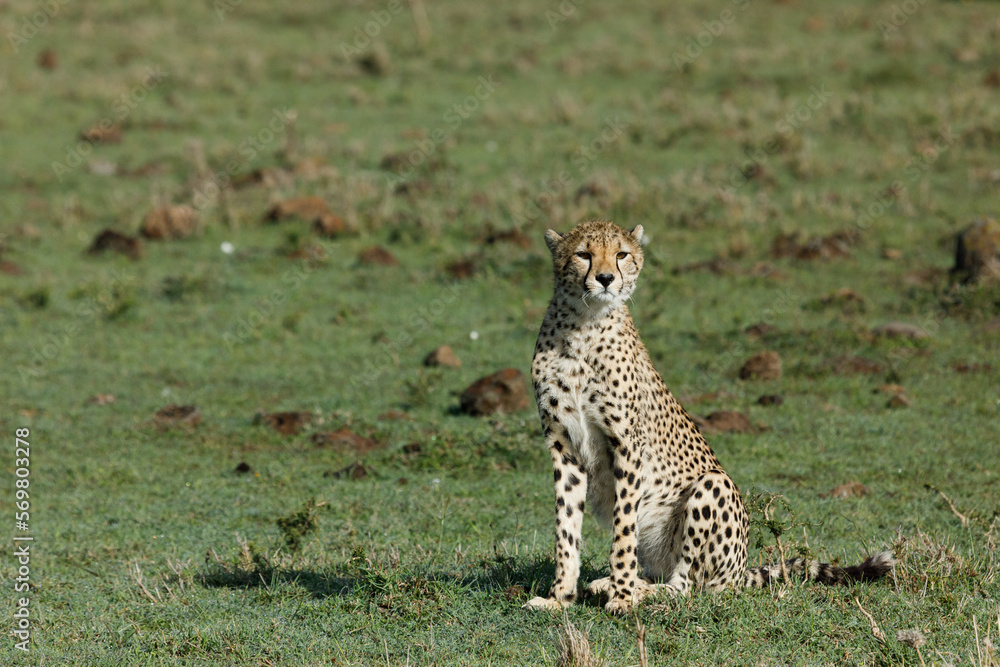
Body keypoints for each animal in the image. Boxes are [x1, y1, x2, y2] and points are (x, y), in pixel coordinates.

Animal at [525, 220, 893, 614]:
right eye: (583, 254)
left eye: (621, 254)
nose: (606, 278)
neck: (583, 324)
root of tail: (741, 571)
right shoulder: (563, 446)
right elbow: (566, 528)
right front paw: (560, 598)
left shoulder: (627, 445)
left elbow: (623, 532)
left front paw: (622, 598)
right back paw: (610, 584)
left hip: (713, 485)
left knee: (686, 586)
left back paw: (635, 591)